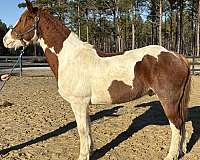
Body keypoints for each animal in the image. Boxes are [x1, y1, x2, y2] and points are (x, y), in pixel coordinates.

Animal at [2, 0, 191, 159]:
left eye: (25, 19)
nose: (5, 40)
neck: (70, 57)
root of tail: (177, 56)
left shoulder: (78, 103)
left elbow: (82, 130)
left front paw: (83, 156)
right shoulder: (84, 104)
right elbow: (88, 128)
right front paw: (90, 151)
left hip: (168, 101)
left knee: (176, 125)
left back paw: (171, 155)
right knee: (182, 124)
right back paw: (181, 151)